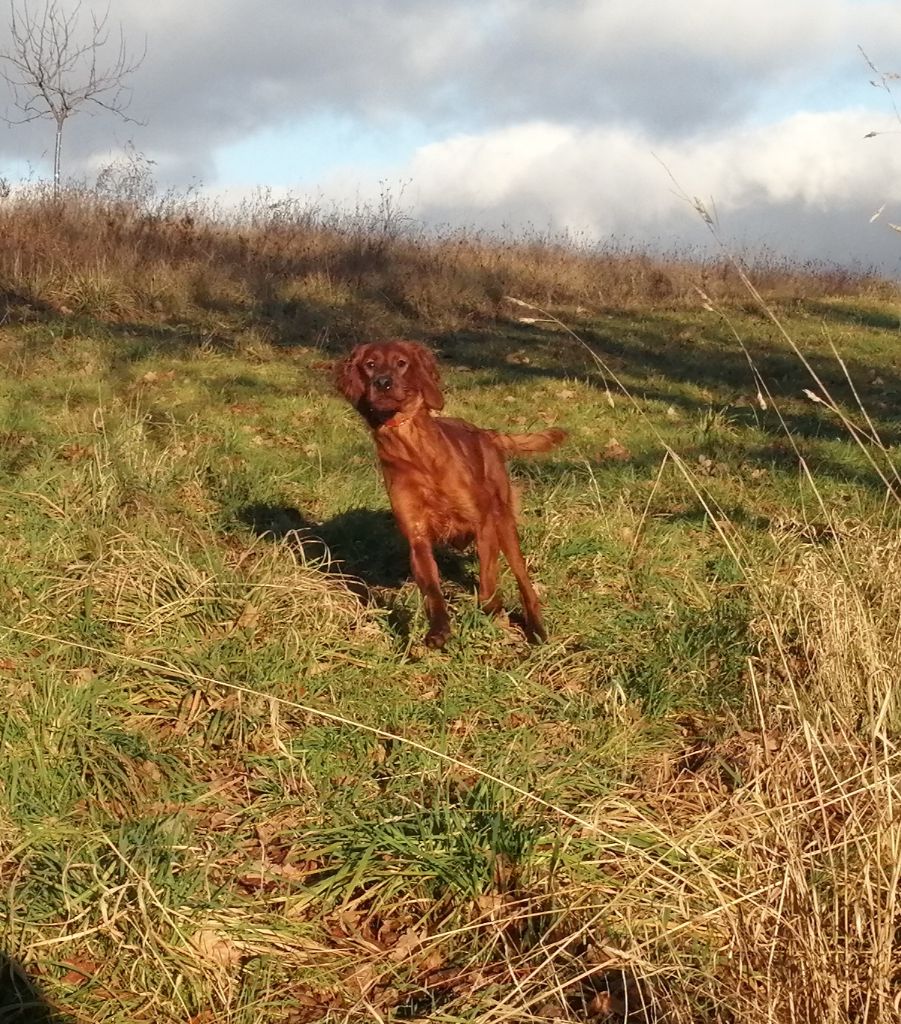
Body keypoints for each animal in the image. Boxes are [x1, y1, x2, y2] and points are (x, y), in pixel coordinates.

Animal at [337, 344, 565, 647]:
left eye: (401, 363)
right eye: (370, 364)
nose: (383, 383)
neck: (414, 451)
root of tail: (486, 434)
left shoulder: (483, 523)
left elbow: (488, 578)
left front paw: (491, 609)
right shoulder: (417, 537)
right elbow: (432, 590)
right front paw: (439, 629)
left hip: (504, 522)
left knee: (524, 580)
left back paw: (537, 629)